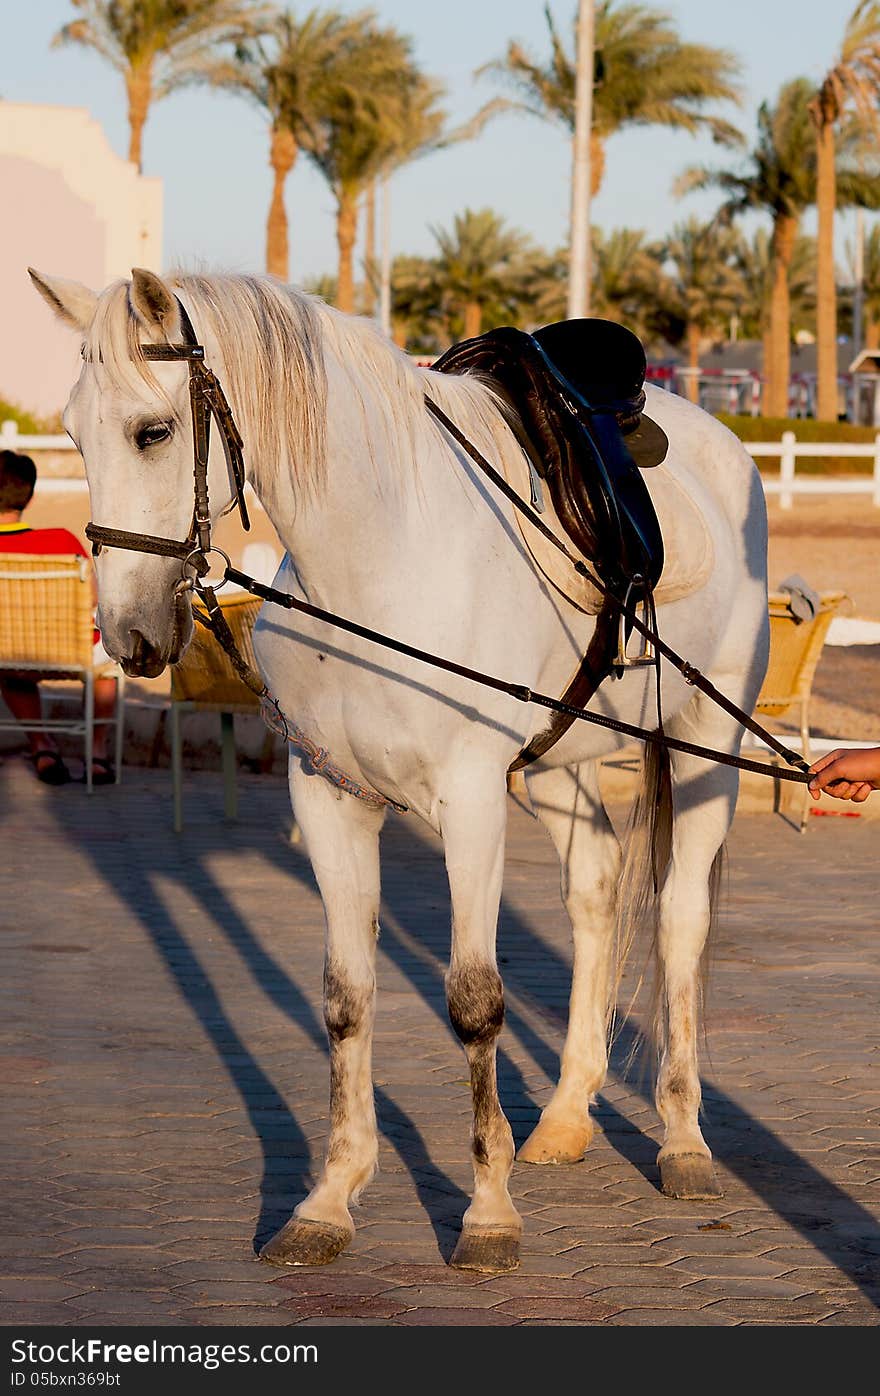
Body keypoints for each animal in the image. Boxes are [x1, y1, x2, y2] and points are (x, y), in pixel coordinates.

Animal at [31, 263, 771, 1278]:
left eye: (154, 431)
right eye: (71, 432)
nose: (131, 637)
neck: (379, 564)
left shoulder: (470, 806)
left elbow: (475, 1002)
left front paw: (488, 1211)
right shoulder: (331, 801)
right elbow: (346, 1000)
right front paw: (330, 1198)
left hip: (707, 746)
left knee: (680, 923)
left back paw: (684, 1141)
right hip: (557, 766)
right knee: (594, 895)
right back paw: (566, 1118)